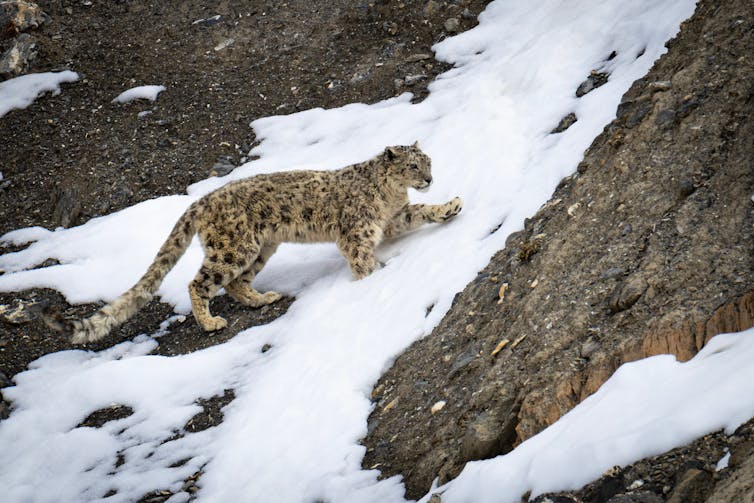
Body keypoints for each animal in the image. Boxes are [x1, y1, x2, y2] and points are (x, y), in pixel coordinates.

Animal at [68, 142, 463, 343]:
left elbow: (420, 212)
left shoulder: (393, 219)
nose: (429, 179)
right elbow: (362, 261)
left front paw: (450, 207)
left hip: (260, 249)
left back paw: (262, 299)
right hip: (234, 248)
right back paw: (210, 322)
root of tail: (201, 201)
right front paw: (373, 282)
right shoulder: (358, 233)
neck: (391, 197)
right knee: (199, 282)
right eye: (413, 166)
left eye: (428, 160)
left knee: (236, 283)